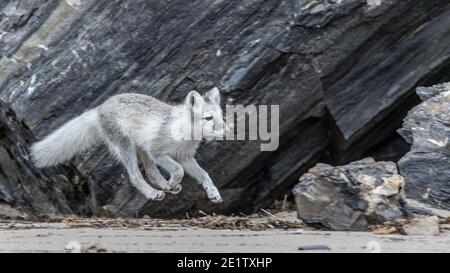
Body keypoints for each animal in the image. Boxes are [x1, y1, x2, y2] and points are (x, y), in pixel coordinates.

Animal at [30, 87, 225, 202]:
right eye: (208, 118)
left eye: (221, 116)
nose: (225, 132)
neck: (184, 133)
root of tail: (100, 107)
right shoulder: (157, 152)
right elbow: (179, 170)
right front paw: (172, 181)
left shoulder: (184, 157)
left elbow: (204, 174)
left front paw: (213, 192)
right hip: (127, 148)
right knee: (135, 176)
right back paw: (154, 193)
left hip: (142, 150)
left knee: (151, 173)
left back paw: (164, 187)